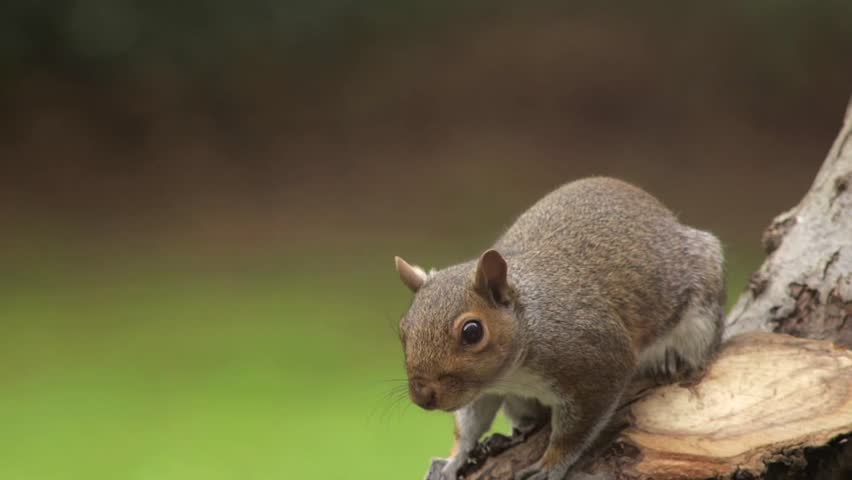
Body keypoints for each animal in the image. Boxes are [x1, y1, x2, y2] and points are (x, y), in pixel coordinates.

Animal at [394, 177, 726, 480]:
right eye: (403, 329)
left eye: (472, 332)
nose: (422, 396)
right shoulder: (486, 388)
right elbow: (471, 424)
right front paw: (455, 459)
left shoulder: (598, 361)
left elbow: (575, 429)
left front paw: (552, 464)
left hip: (701, 304)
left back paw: (672, 358)